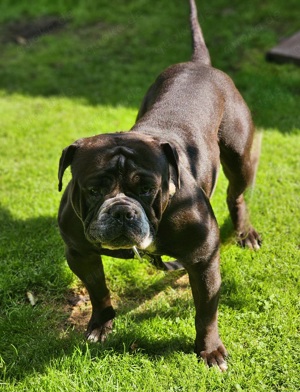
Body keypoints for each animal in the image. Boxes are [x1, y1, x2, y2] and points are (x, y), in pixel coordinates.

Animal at [58, 0, 260, 370]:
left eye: (147, 188)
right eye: (93, 190)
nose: (122, 212)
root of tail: (199, 64)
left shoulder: (203, 260)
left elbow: (206, 311)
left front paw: (210, 349)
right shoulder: (79, 253)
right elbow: (97, 289)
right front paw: (101, 324)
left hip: (239, 157)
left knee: (236, 194)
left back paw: (244, 233)